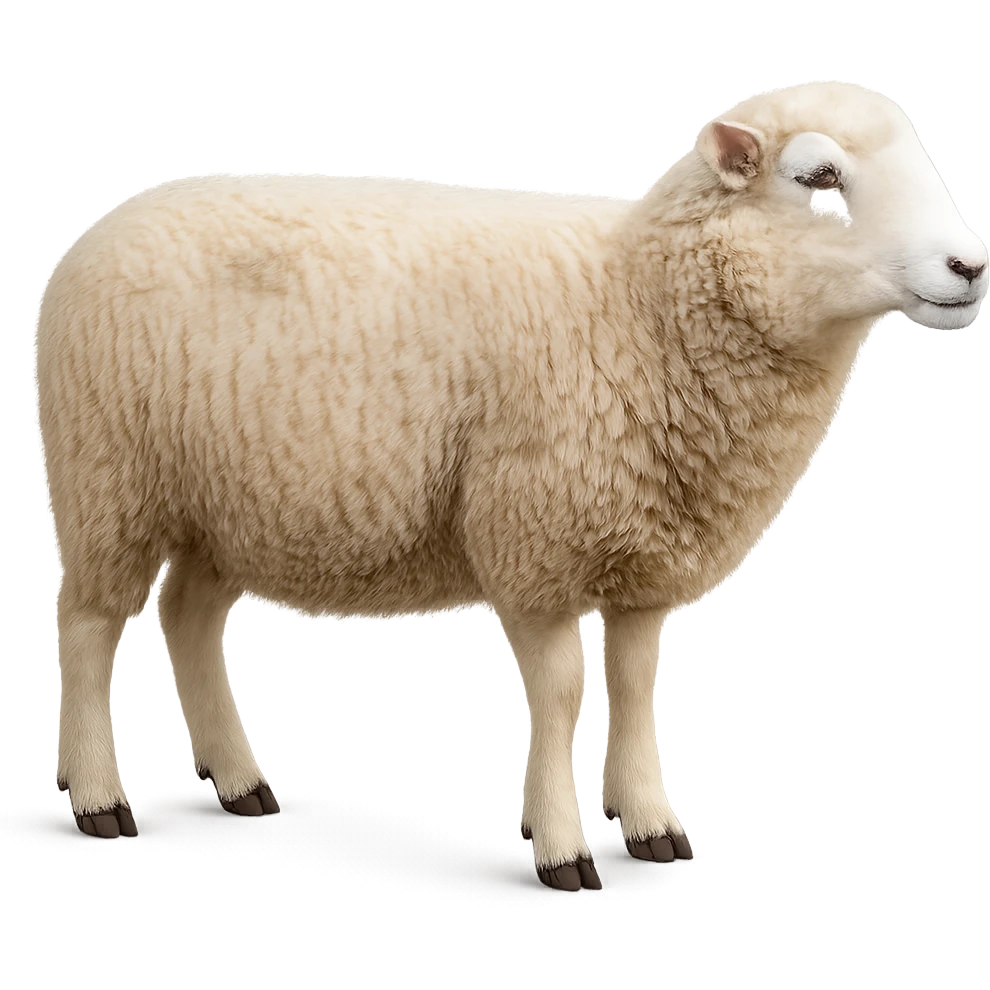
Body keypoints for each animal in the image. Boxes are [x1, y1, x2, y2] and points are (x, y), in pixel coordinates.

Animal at [33, 82, 987, 893]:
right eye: (821, 180)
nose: (969, 266)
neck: (635, 301)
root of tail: (103, 222)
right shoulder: (537, 542)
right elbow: (562, 694)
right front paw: (561, 847)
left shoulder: (641, 555)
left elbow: (637, 685)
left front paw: (651, 825)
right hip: (106, 477)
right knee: (86, 627)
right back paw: (98, 798)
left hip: (223, 500)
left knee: (190, 616)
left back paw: (238, 783)